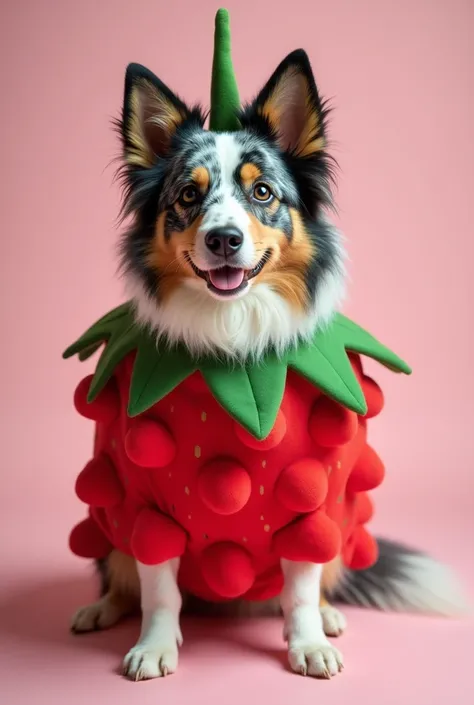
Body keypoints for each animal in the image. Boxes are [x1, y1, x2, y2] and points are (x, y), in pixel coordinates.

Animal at [69, 48, 466, 676]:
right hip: (106, 519)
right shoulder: (142, 504)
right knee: (119, 576)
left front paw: (309, 643)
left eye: (262, 193)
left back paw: (328, 616)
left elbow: (300, 587)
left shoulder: (309, 506)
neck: (234, 341)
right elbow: (158, 589)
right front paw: (154, 646)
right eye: (188, 195)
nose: (225, 240)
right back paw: (101, 609)